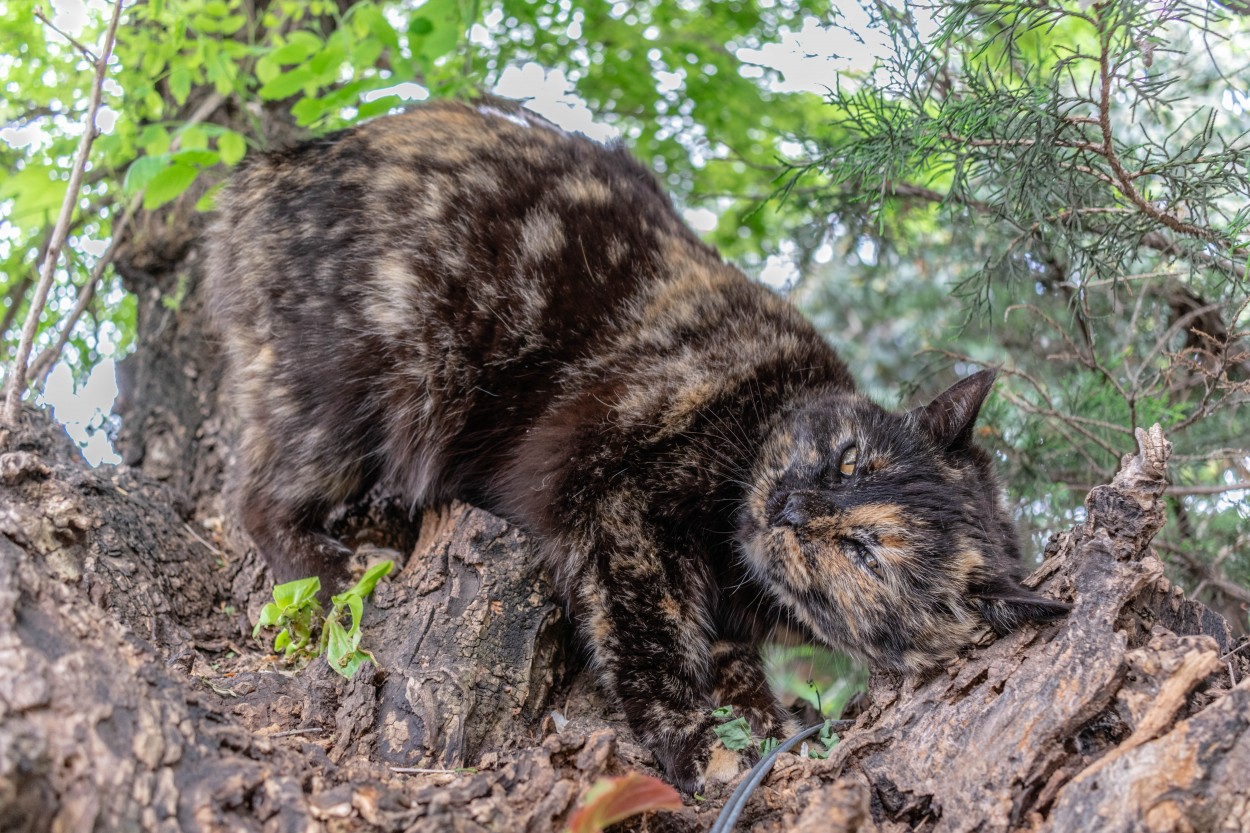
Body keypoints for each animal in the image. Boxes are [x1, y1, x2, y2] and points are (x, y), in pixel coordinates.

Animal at [210, 95, 1070, 785]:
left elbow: (725, 663)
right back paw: (331, 573)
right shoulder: (624, 512)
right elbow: (653, 638)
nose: (792, 506)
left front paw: (757, 727)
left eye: (865, 550)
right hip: (362, 383)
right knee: (255, 497)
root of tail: (277, 164)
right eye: (850, 457)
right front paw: (692, 742)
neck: (735, 565)